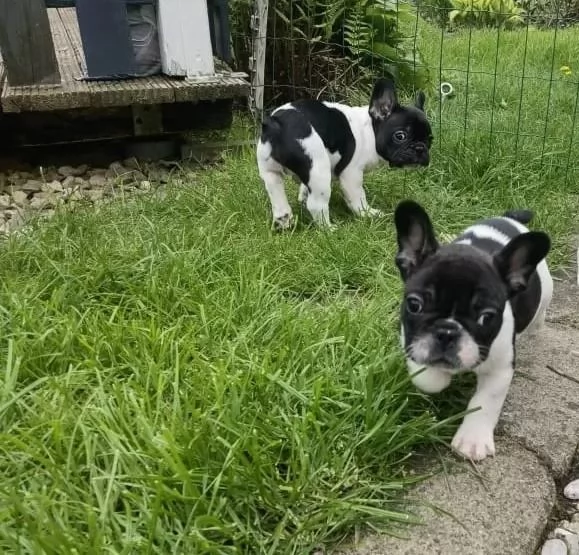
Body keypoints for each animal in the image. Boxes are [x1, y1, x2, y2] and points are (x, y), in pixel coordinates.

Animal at [258, 78, 430, 230]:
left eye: (430, 139)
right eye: (400, 136)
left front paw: (302, 196)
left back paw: (284, 223)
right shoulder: (351, 174)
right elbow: (357, 197)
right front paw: (367, 213)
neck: (369, 131)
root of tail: (277, 124)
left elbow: (304, 188)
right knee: (316, 205)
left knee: (277, 195)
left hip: (270, 172)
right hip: (319, 170)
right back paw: (329, 229)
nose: (420, 148)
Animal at [394, 202, 552, 462]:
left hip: (547, 291)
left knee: (540, 312)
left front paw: (472, 440)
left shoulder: (500, 368)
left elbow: (485, 402)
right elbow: (427, 378)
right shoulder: (410, 341)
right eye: (414, 305)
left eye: (486, 317)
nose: (447, 332)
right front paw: (437, 377)